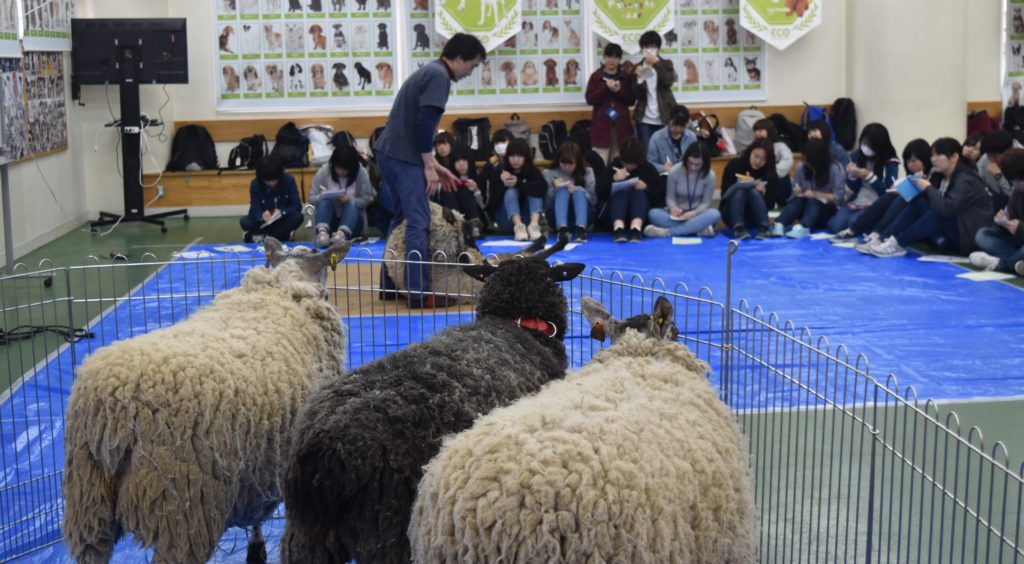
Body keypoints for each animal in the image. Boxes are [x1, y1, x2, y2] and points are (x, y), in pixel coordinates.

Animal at [64, 238, 354, 564]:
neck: (281, 288)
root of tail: (114, 410)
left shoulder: (257, 466)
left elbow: (255, 518)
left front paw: (255, 550)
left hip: (88, 503)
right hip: (183, 511)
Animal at [385, 200, 569, 302]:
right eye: (466, 225)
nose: (480, 222)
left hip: (501, 259)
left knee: (526, 254)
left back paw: (547, 241)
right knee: (531, 258)